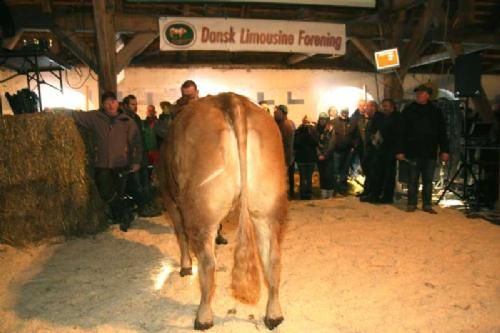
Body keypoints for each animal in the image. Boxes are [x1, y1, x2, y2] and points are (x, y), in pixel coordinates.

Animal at [158, 92, 288, 328]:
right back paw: (274, 315)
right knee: (272, 257)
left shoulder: (169, 198)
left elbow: (180, 233)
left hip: (200, 208)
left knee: (207, 262)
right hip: (268, 207)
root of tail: (230, 99)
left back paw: (203, 317)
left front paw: (185, 266)